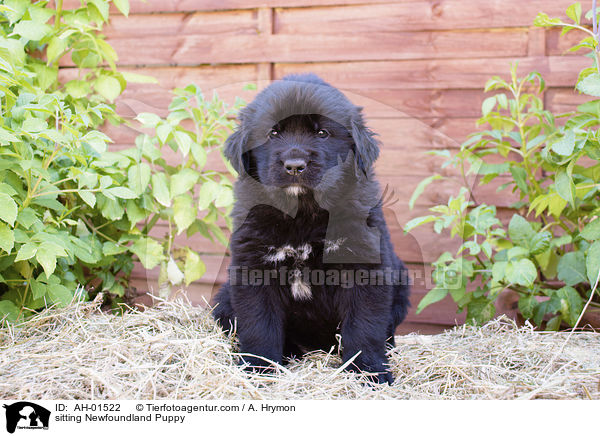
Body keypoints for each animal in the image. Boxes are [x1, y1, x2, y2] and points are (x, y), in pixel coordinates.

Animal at [212, 74, 412, 382]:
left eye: (322, 133)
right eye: (273, 133)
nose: (295, 165)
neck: (303, 214)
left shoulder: (365, 266)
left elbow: (364, 327)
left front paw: (369, 372)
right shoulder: (253, 266)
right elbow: (259, 325)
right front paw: (259, 368)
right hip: (224, 298)